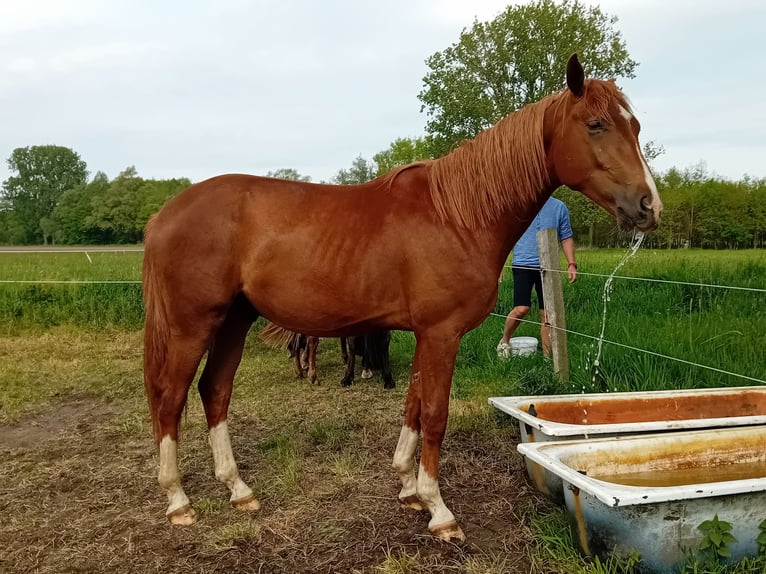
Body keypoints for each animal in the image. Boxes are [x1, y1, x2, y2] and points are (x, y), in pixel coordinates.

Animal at [141, 54, 662, 542]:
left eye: (635, 126)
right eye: (596, 125)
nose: (648, 206)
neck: (458, 216)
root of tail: (164, 214)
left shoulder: (424, 335)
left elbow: (412, 405)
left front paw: (409, 490)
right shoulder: (441, 334)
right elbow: (434, 413)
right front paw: (439, 510)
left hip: (234, 320)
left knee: (214, 391)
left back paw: (239, 490)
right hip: (193, 325)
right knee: (170, 399)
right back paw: (178, 501)